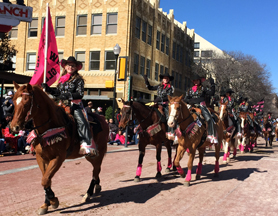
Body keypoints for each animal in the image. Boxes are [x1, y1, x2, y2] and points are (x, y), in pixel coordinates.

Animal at [8, 82, 108, 214]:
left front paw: (53, 200)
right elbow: (46, 179)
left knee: (96, 170)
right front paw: (46, 204)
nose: (14, 127)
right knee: (96, 171)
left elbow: (45, 180)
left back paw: (88, 193)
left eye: (26, 102)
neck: (48, 128)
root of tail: (103, 120)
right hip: (91, 156)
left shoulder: (58, 158)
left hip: (97, 153)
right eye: (14, 102)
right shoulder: (41, 158)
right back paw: (97, 186)